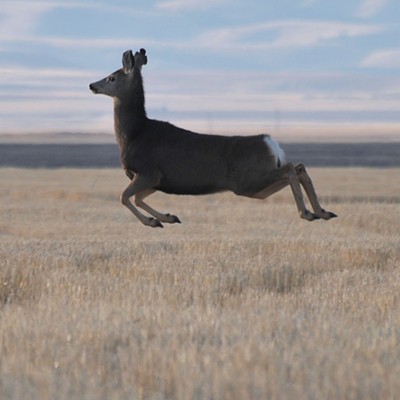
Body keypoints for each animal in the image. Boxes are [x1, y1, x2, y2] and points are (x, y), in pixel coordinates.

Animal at [89, 48, 336, 227]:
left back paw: (308, 213)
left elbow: (124, 197)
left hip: (249, 180)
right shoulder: (158, 180)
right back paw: (323, 212)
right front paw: (168, 218)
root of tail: (270, 143)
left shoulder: (149, 172)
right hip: (256, 187)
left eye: (111, 78)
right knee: (298, 167)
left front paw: (152, 222)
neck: (134, 133)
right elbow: (137, 198)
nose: (92, 85)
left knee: (291, 168)